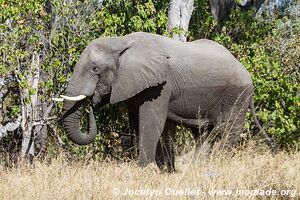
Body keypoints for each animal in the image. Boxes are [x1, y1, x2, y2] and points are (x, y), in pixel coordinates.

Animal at [54, 31, 276, 172]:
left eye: (95, 69)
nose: (90, 105)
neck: (122, 42)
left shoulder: (160, 85)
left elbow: (152, 122)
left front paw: (145, 169)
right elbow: (137, 123)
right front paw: (162, 170)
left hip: (237, 95)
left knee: (228, 129)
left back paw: (219, 164)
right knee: (203, 133)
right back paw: (196, 167)